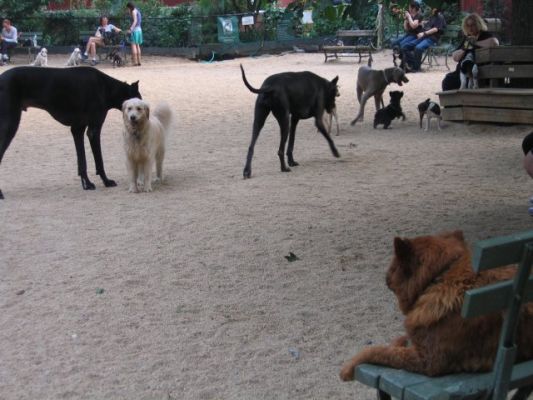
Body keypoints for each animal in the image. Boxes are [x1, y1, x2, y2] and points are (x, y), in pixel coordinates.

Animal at [0, 66, 141, 199]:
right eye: (139, 101)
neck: (106, 87)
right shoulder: (93, 130)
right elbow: (99, 160)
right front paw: (106, 181)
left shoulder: (77, 129)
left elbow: (82, 161)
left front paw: (86, 184)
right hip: (10, 125)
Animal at [338, 230, 532, 380]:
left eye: (393, 265)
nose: (385, 276)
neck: (440, 276)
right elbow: (396, 342)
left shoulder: (428, 361)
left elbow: (377, 350)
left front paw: (348, 368)